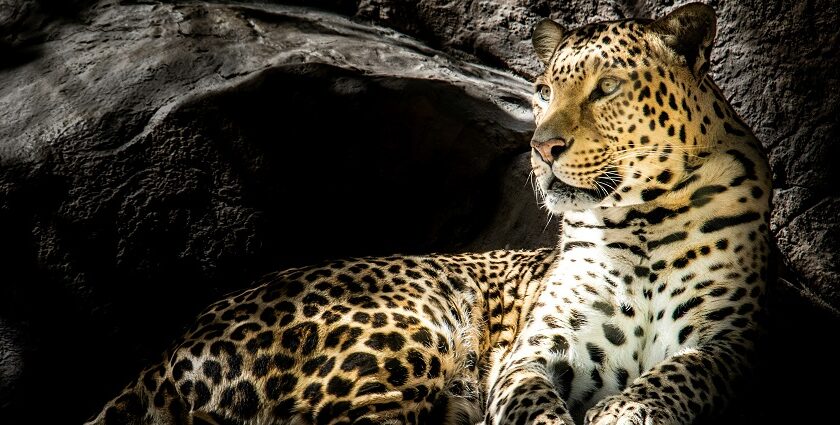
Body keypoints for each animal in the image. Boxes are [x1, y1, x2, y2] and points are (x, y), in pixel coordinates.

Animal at [85, 3, 768, 424]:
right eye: (544, 90)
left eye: (607, 88)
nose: (541, 146)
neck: (643, 219)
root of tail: (166, 352)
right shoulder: (536, 350)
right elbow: (529, 400)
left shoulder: (730, 341)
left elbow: (677, 375)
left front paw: (624, 409)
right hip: (406, 332)